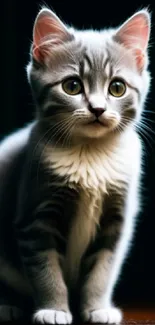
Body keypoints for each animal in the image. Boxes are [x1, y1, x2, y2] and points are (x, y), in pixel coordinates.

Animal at [0, 5, 151, 324]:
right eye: (72, 86)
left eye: (117, 88)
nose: (98, 109)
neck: (90, 155)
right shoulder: (35, 216)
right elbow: (45, 270)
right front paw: (54, 309)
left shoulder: (116, 221)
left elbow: (102, 271)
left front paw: (97, 308)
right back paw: (6, 304)